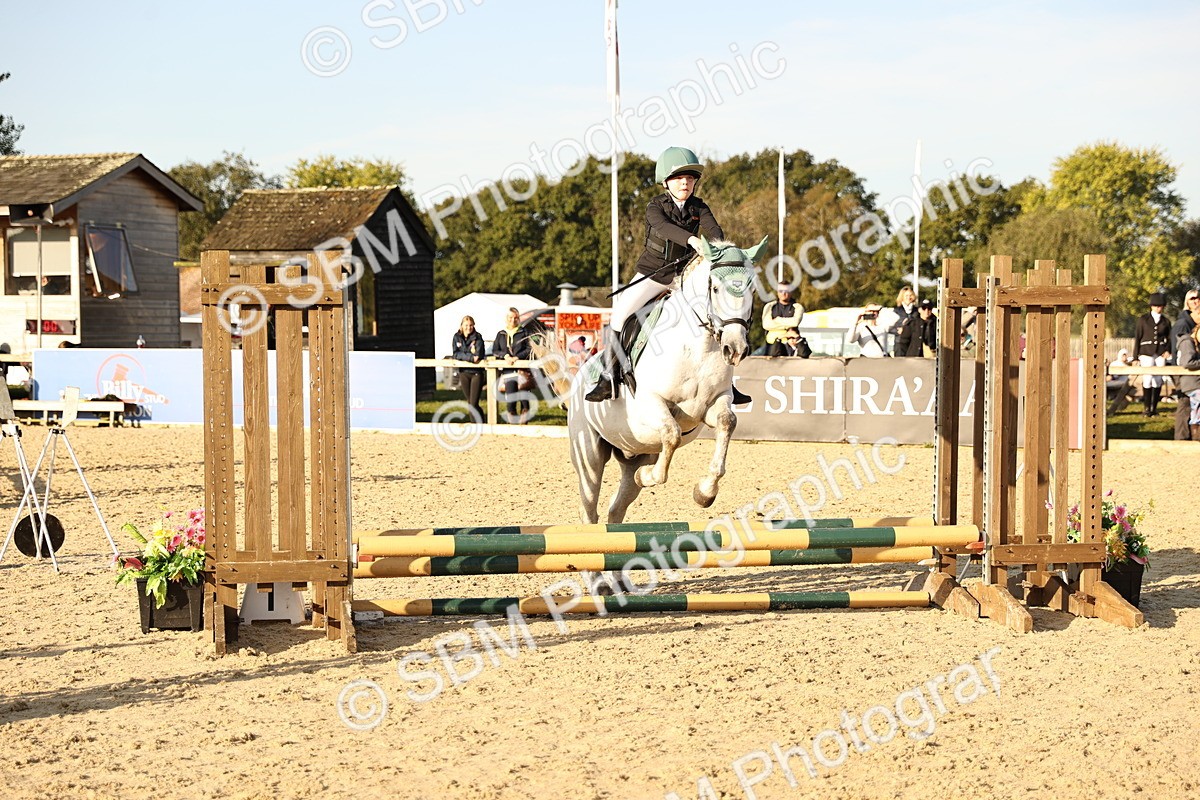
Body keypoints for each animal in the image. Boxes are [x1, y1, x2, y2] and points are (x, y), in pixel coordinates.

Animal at [537, 236, 767, 525]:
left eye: (752, 290)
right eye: (714, 288)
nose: (735, 349)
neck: (698, 347)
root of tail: (578, 379)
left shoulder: (714, 403)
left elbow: (727, 422)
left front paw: (704, 493)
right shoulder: (650, 402)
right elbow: (672, 434)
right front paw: (648, 476)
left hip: (636, 452)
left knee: (617, 507)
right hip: (588, 457)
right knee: (590, 507)